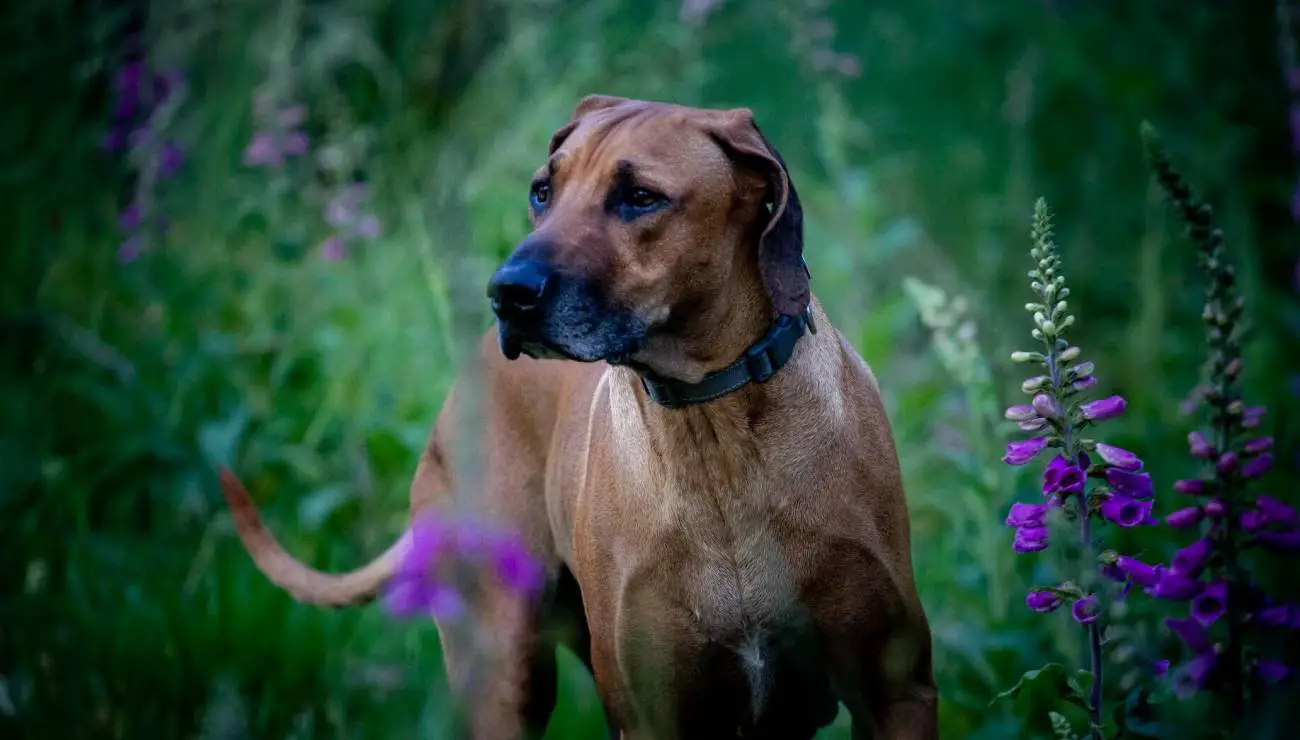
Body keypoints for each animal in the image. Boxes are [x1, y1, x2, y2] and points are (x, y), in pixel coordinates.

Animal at [220, 94, 935, 733]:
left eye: (641, 197)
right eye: (543, 191)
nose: (506, 293)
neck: (714, 426)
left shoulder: (897, 693)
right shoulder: (652, 717)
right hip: (503, 673)